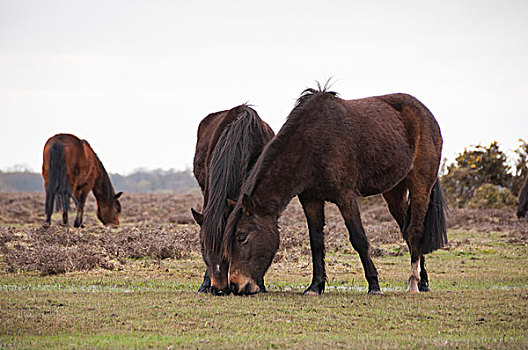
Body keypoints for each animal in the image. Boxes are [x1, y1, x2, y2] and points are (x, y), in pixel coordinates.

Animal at [219, 85, 446, 296]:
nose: (236, 286)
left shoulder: (345, 197)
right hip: (394, 192)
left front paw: (374, 285)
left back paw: (413, 283)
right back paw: (423, 282)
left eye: (242, 237)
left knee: (415, 231)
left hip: (420, 185)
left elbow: (358, 239)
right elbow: (316, 242)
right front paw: (315, 286)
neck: (313, 143)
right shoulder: (310, 199)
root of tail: (426, 114)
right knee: (407, 231)